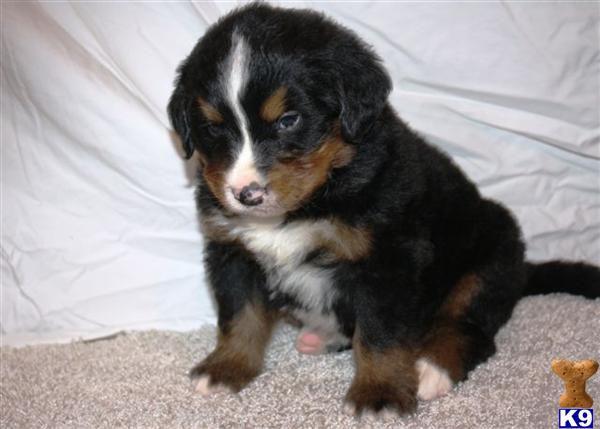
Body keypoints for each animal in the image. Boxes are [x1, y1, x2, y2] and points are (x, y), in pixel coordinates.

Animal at [168, 3, 600, 416]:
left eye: (289, 120)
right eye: (212, 127)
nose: (246, 194)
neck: (318, 193)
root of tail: (523, 268)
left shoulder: (389, 257)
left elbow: (380, 334)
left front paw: (381, 394)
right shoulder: (231, 250)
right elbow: (239, 317)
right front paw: (225, 368)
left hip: (489, 258)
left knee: (468, 327)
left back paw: (432, 369)